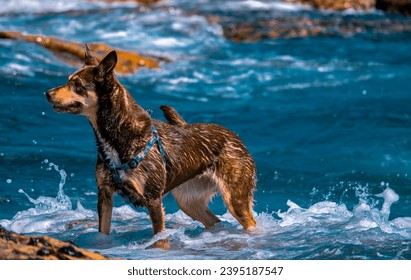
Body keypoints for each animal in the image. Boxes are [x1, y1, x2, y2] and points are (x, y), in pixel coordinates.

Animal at [45, 46, 258, 249]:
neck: (116, 134)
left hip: (235, 199)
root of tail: (235, 137)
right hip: (188, 200)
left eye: (77, 85)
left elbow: (160, 239)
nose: (47, 93)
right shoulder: (104, 195)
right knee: (215, 222)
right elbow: (102, 233)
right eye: (68, 80)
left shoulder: (153, 199)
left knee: (249, 222)